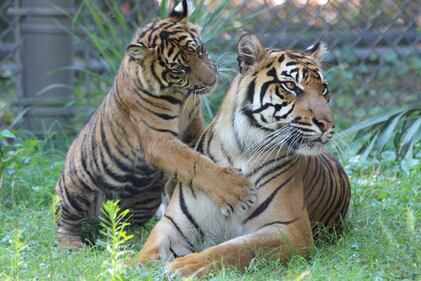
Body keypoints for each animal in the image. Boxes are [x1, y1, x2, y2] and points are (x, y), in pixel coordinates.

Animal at [55, 1, 253, 248]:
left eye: (199, 51)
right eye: (179, 69)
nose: (211, 81)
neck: (182, 97)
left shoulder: (193, 128)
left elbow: (200, 156)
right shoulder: (158, 140)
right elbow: (195, 163)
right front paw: (235, 190)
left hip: (146, 198)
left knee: (123, 225)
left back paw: (136, 238)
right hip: (76, 187)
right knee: (65, 223)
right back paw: (71, 245)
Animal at [139, 33, 352, 278]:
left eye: (323, 89)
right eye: (290, 85)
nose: (328, 124)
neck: (240, 149)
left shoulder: (291, 229)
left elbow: (233, 249)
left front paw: (185, 266)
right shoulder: (175, 224)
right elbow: (149, 249)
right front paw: (126, 266)